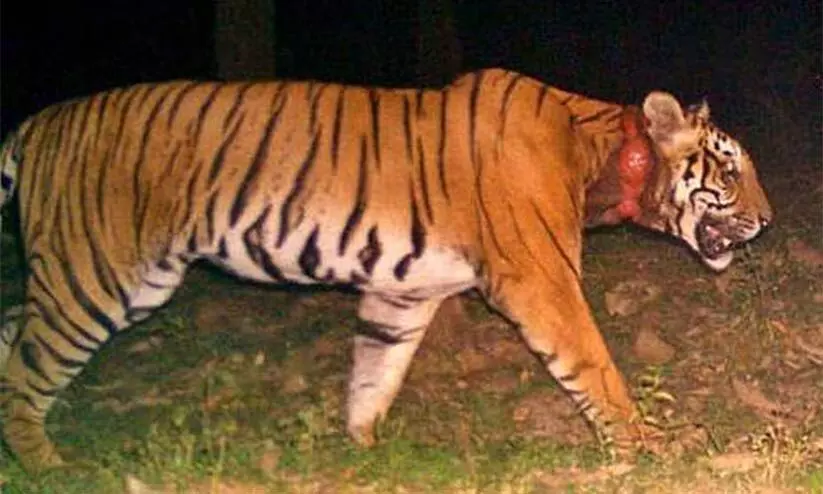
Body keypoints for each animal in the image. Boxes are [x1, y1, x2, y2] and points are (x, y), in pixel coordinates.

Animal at [0, 68, 772, 471]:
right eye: (731, 167)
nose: (768, 221)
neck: (604, 155)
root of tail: (36, 124)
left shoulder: (402, 293)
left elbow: (375, 372)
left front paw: (364, 451)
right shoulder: (541, 279)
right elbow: (594, 366)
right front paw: (643, 443)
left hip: (130, 281)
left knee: (12, 329)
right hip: (93, 274)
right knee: (27, 369)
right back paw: (49, 469)